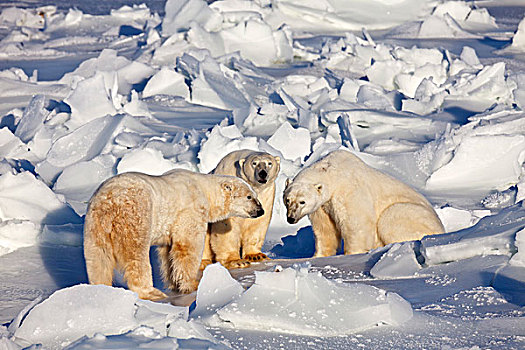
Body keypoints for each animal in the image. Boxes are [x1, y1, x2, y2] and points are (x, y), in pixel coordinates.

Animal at [84, 168, 264, 300]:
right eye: (249, 197)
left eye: (256, 196)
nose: (260, 211)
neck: (204, 190)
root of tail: (110, 200)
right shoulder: (190, 211)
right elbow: (187, 247)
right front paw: (193, 284)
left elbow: (167, 252)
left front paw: (174, 283)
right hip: (135, 215)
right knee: (135, 255)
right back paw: (152, 292)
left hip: (95, 223)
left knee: (98, 257)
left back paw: (100, 288)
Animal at [282, 149, 442, 256]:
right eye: (287, 200)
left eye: (302, 202)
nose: (291, 218)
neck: (332, 173)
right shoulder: (322, 207)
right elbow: (325, 230)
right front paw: (319, 255)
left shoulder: (349, 192)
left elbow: (356, 223)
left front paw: (352, 253)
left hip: (415, 215)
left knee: (390, 218)